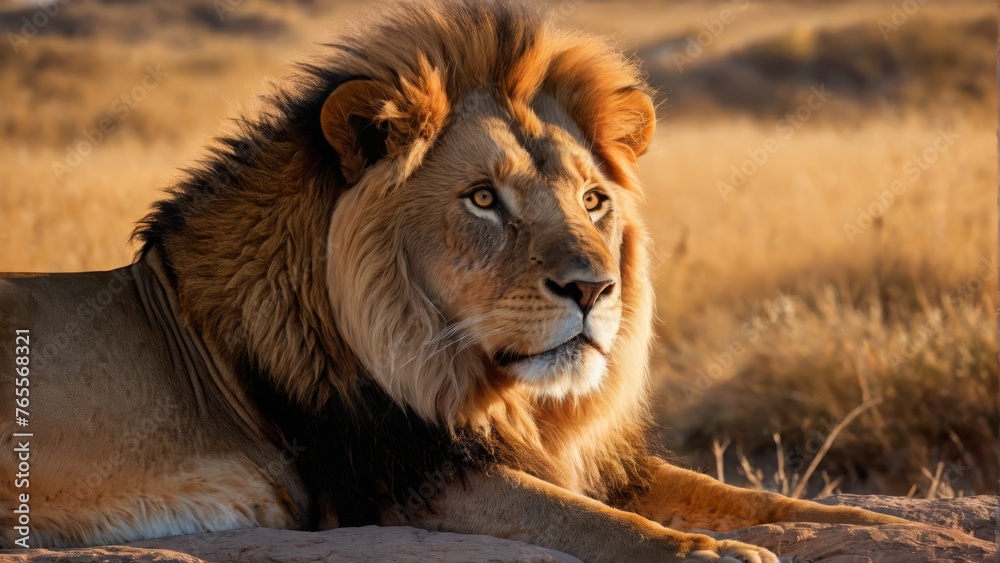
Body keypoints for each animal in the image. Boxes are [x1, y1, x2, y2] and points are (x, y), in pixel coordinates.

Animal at [0, 1, 908, 560]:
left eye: (593, 199)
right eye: (482, 199)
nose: (594, 290)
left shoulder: (580, 457)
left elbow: (762, 498)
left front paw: (877, 524)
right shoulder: (393, 486)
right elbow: (590, 519)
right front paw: (706, 551)